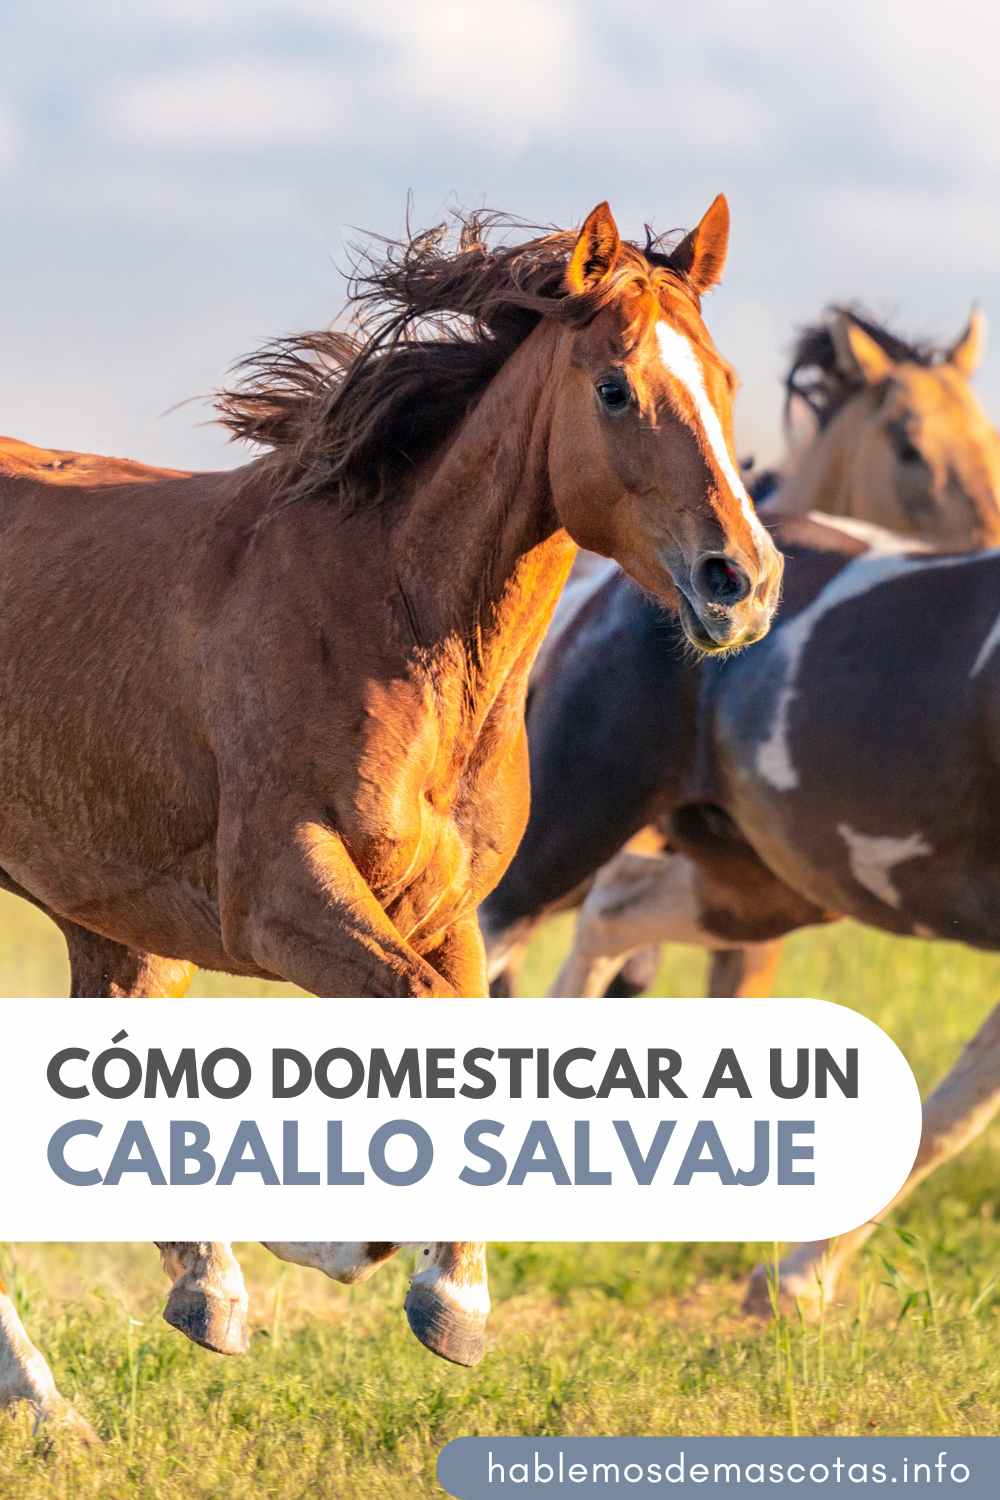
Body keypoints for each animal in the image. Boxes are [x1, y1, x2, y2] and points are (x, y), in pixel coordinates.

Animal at [0, 197, 784, 1439]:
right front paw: (364, 1256)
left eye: (724, 376)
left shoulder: (441, 909)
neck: (391, 620)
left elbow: (461, 1039)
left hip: (117, 918)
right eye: (615, 388)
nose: (741, 584)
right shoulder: (283, 902)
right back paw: (49, 1404)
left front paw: (433, 1291)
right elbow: (426, 1025)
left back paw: (190, 1299)